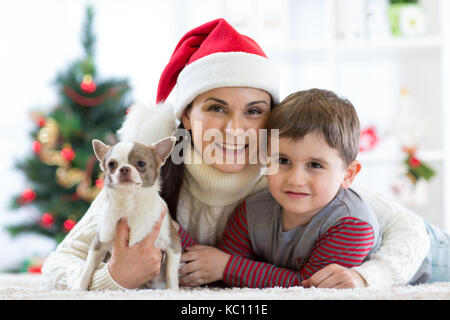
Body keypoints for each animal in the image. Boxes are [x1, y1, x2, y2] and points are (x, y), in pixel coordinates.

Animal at [78, 136, 181, 290]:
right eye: (111, 164)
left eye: (141, 163)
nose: (124, 168)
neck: (130, 204)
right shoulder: (100, 242)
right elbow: (88, 266)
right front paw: (79, 287)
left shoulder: (172, 243)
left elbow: (171, 272)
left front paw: (172, 290)